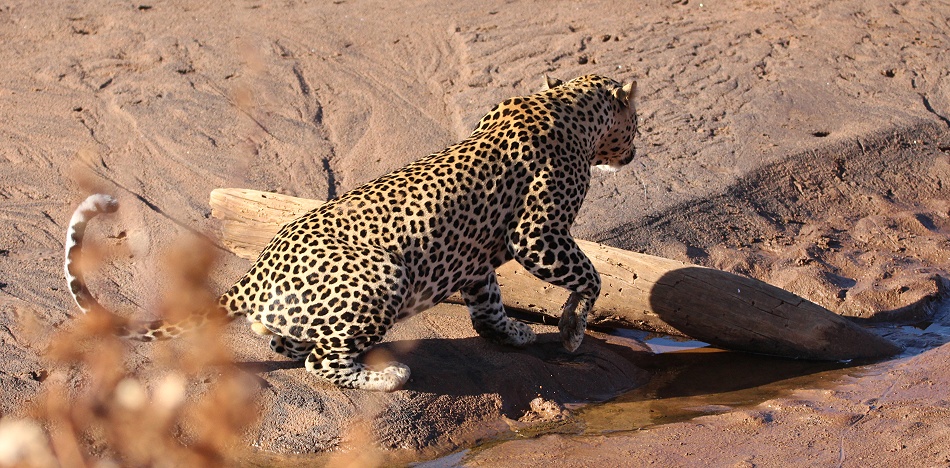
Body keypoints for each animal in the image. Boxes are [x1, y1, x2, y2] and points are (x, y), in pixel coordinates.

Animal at [64, 74, 639, 392]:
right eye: (636, 121)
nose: (635, 150)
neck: (571, 107)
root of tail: (255, 272)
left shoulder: (477, 260)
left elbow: (489, 304)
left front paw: (513, 333)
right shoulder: (539, 235)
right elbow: (589, 275)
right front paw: (572, 329)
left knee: (288, 343)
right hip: (384, 278)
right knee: (321, 362)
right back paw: (386, 377)